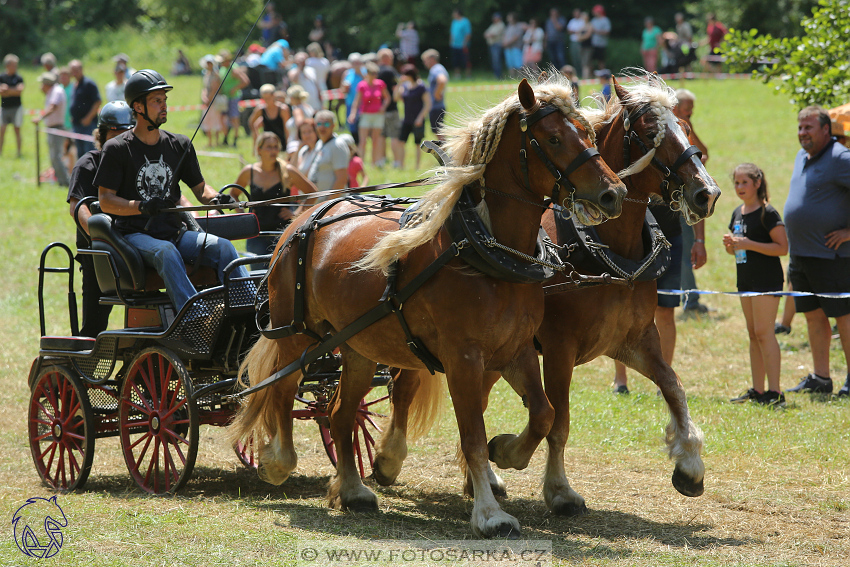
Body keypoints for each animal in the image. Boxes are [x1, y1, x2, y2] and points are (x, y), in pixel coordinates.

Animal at [229, 76, 628, 536]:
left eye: (590, 134)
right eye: (554, 138)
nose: (614, 193)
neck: (485, 249)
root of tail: (299, 219)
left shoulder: (516, 350)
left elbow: (543, 415)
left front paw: (507, 452)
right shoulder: (463, 359)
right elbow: (472, 436)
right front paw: (490, 513)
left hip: (359, 346)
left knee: (340, 413)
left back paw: (353, 490)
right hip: (296, 335)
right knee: (280, 388)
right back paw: (278, 462)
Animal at [374, 75, 720, 516]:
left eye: (686, 129)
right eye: (648, 135)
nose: (706, 193)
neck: (604, 247)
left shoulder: (635, 341)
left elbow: (674, 386)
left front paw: (690, 463)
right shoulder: (559, 348)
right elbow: (559, 420)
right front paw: (556, 487)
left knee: (475, 402)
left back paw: (480, 479)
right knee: (404, 388)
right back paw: (389, 459)